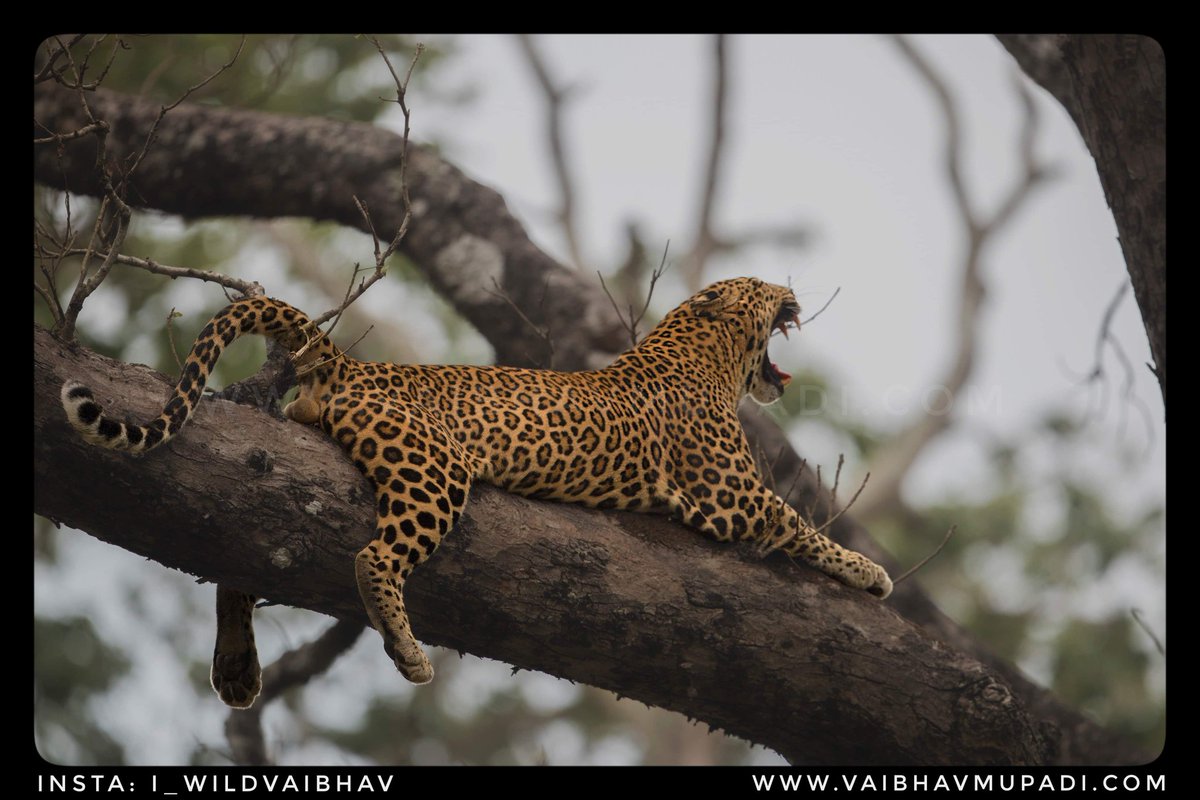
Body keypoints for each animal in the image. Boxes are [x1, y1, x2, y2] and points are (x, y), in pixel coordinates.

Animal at [60, 276, 892, 709]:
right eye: (758, 289)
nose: (793, 290)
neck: (702, 357)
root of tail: (354, 364)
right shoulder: (732, 496)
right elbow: (803, 525)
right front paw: (873, 573)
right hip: (434, 471)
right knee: (373, 559)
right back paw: (408, 653)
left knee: (237, 551)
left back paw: (237, 667)